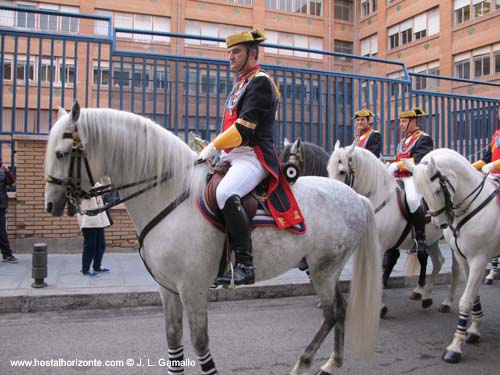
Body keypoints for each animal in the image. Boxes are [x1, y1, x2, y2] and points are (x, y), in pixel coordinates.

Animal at [45, 102, 380, 375]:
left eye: (61, 153)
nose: (50, 204)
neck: (170, 194)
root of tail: (355, 197)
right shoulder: (167, 288)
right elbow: (174, 341)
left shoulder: (192, 288)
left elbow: (200, 344)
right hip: (324, 269)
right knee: (340, 308)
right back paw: (332, 362)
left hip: (323, 269)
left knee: (331, 312)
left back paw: (304, 363)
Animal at [328, 144, 460, 314]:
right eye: (328, 168)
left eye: (342, 171)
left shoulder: (379, 246)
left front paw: (379, 306)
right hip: (431, 239)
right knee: (438, 261)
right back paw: (424, 295)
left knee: (455, 269)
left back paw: (447, 302)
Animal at [406, 149, 500, 364]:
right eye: (420, 192)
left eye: (437, 191)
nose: (438, 223)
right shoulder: (465, 259)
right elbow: (472, 295)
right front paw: (473, 330)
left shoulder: (479, 260)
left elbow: (465, 300)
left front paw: (455, 346)